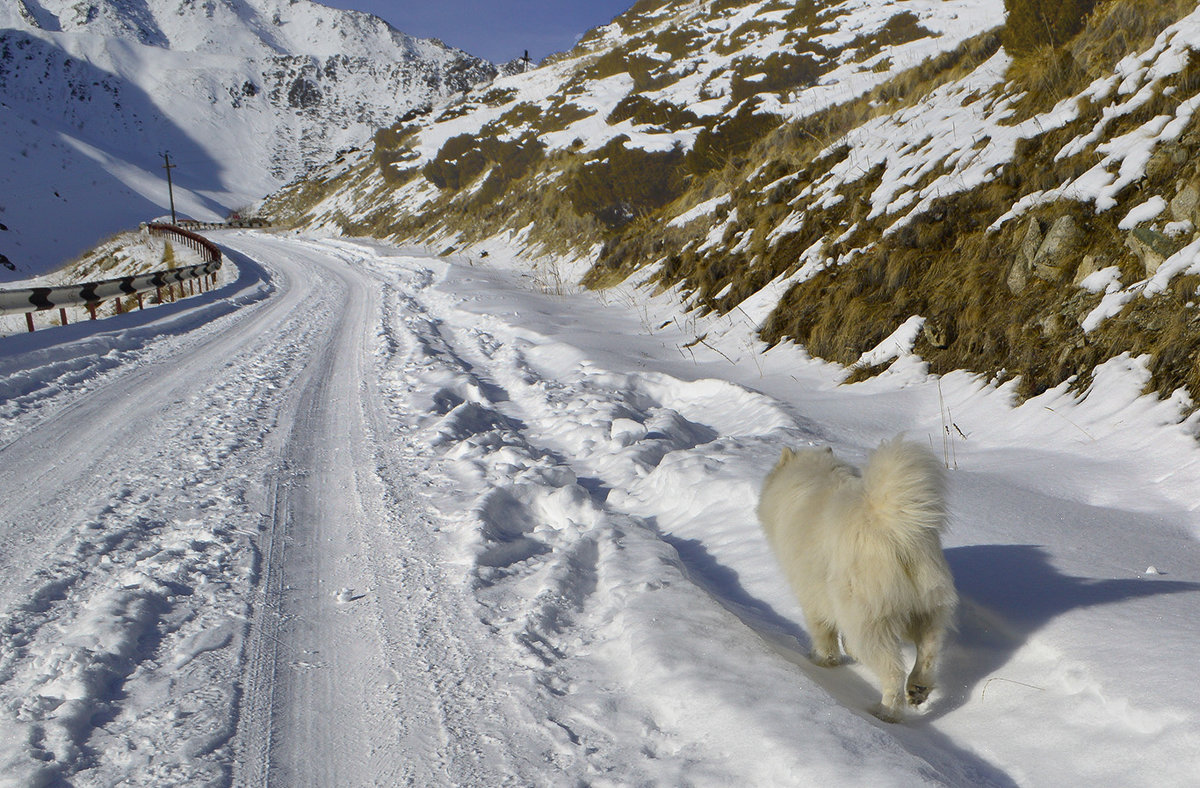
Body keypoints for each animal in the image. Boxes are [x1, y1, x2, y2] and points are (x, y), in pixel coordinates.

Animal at [758, 438, 955, 724]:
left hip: (868, 619)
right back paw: (918, 688)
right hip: (927, 603)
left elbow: (822, 631)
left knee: (893, 670)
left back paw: (887, 711)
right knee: (928, 647)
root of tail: (891, 529)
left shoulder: (811, 593)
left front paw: (822, 660)